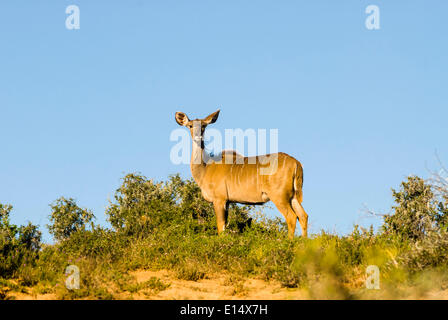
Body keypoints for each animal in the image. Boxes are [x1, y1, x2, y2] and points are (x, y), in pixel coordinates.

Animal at [175, 110, 308, 238]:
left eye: (204, 126)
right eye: (190, 125)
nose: (198, 137)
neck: (206, 167)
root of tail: (296, 163)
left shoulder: (219, 199)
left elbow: (221, 227)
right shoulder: (227, 202)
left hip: (279, 196)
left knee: (291, 217)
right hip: (293, 197)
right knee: (303, 216)